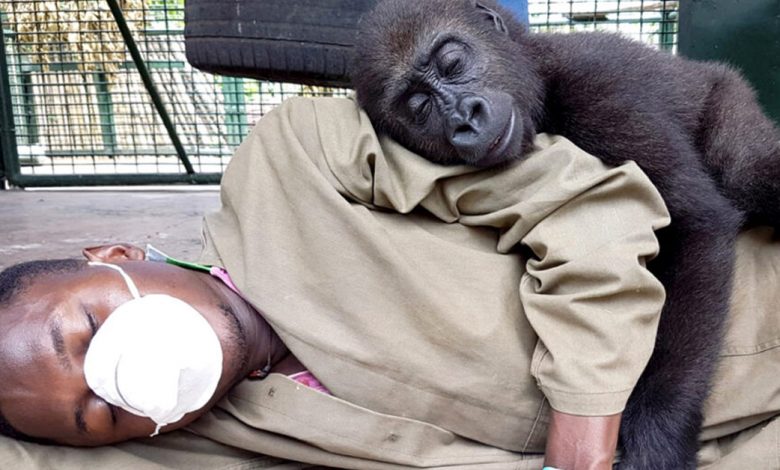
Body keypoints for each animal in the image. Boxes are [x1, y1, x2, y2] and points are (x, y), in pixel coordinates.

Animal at [350, 1, 780, 469]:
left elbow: (694, 226)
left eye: (452, 63)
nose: (465, 117)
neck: (540, 75)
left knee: (746, 168)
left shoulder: (595, 87)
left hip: (727, 97)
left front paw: (659, 435)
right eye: (420, 106)